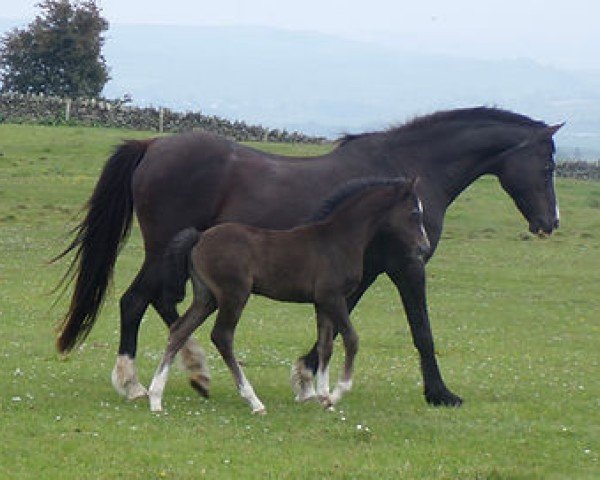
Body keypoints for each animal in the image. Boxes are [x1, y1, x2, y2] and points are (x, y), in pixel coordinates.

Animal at [150, 178, 432, 414]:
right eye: (414, 213)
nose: (424, 248)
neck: (339, 240)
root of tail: (199, 237)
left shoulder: (322, 302)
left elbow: (326, 345)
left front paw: (323, 396)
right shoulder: (333, 297)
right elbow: (352, 339)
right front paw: (337, 393)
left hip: (206, 297)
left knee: (179, 330)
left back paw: (155, 398)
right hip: (234, 294)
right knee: (222, 336)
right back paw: (254, 401)